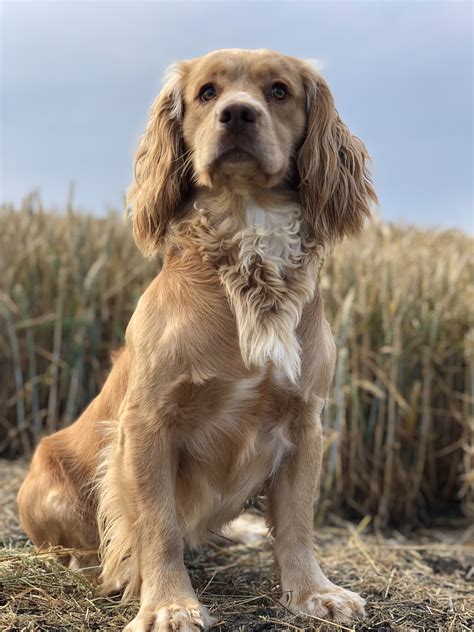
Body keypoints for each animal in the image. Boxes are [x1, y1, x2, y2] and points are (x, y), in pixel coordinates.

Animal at [17, 50, 374, 632]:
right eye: (207, 93)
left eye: (279, 91)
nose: (238, 114)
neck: (249, 248)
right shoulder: (149, 423)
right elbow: (157, 524)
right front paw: (167, 604)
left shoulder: (305, 420)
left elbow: (297, 522)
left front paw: (313, 592)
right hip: (51, 486)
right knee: (78, 547)